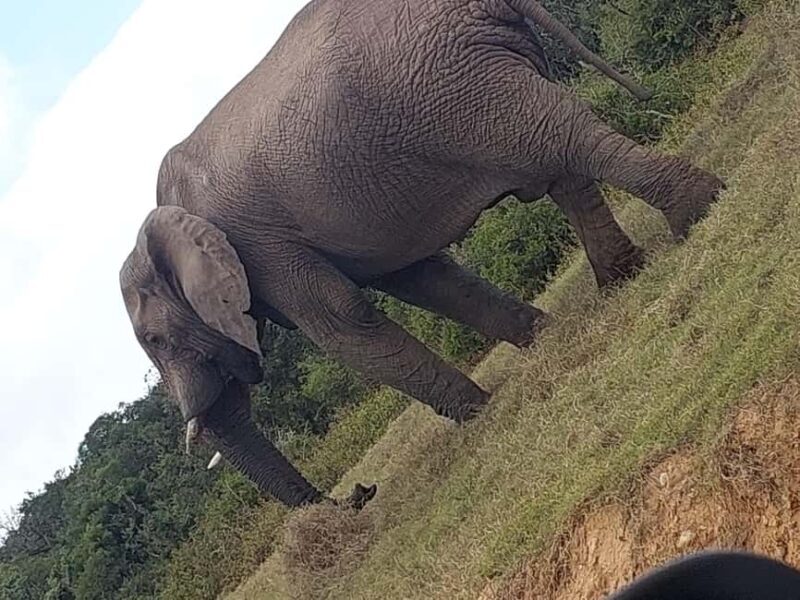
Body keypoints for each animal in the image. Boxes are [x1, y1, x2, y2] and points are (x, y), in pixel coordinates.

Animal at [120, 0, 725, 508]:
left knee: (560, 137)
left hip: (459, 88)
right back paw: (622, 278)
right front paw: (545, 340)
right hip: (468, 73)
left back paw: (699, 210)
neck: (155, 223)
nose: (361, 494)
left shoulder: (262, 244)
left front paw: (481, 414)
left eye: (155, 340)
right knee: (554, 160)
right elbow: (422, 278)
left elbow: (344, 325)